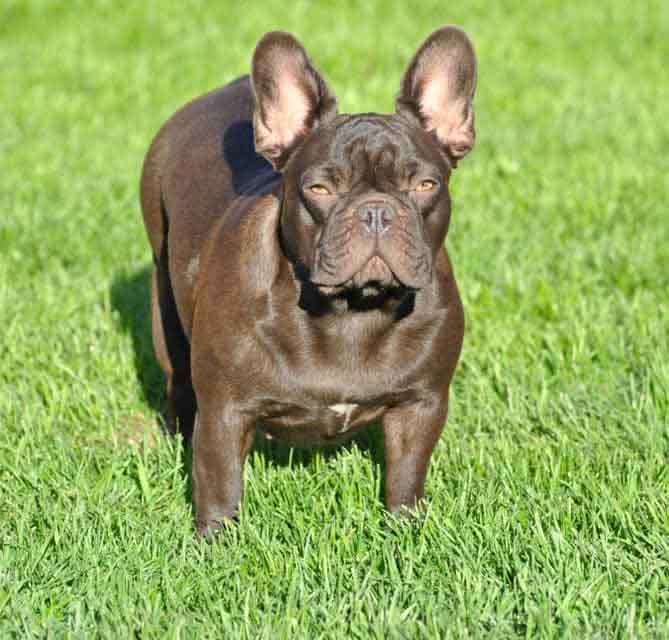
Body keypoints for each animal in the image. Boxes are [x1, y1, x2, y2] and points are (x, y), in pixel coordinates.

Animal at [140, 26, 474, 536]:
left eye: (425, 186)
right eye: (320, 189)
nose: (375, 211)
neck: (351, 311)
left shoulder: (422, 405)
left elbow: (406, 474)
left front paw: (405, 529)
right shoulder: (224, 411)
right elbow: (219, 484)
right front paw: (215, 542)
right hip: (166, 312)